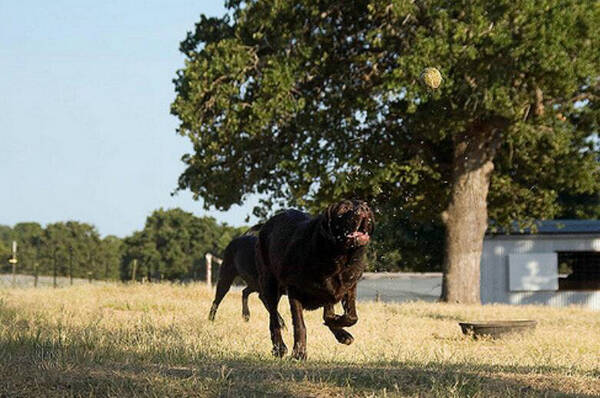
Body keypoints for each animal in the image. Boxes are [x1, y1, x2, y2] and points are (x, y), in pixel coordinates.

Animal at [254, 201, 376, 360]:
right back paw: (279, 347)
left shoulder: (348, 286)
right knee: (273, 317)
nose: (363, 208)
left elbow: (350, 316)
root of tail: (266, 225)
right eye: (343, 209)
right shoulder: (294, 290)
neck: (338, 256)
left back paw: (341, 334)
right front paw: (299, 353)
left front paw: (337, 323)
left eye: (364, 204)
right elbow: (300, 325)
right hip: (270, 283)